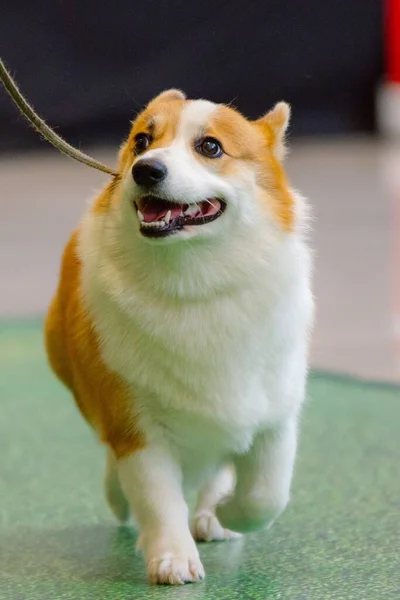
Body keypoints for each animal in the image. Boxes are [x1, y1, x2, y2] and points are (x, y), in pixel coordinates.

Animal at [43, 90, 312, 584]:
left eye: (210, 147)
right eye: (142, 141)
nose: (145, 169)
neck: (196, 282)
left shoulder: (275, 416)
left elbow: (265, 497)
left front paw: (225, 513)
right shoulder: (135, 425)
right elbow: (159, 498)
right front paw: (172, 559)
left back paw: (210, 513)